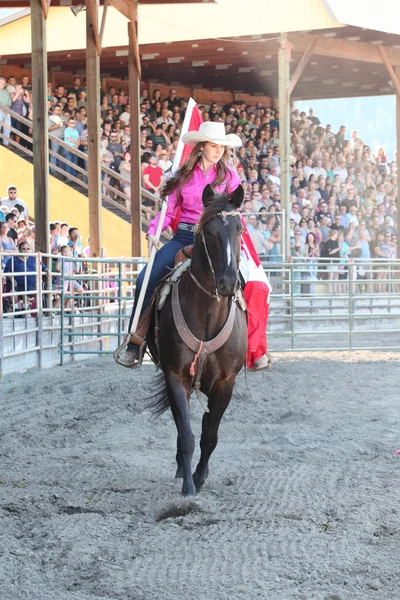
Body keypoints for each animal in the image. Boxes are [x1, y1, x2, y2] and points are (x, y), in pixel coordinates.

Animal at [147, 185, 247, 494]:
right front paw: (189, 486)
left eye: (240, 229)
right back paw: (182, 469)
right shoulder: (176, 375)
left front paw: (201, 477)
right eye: (210, 232)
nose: (228, 284)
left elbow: (210, 434)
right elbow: (187, 434)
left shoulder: (226, 382)